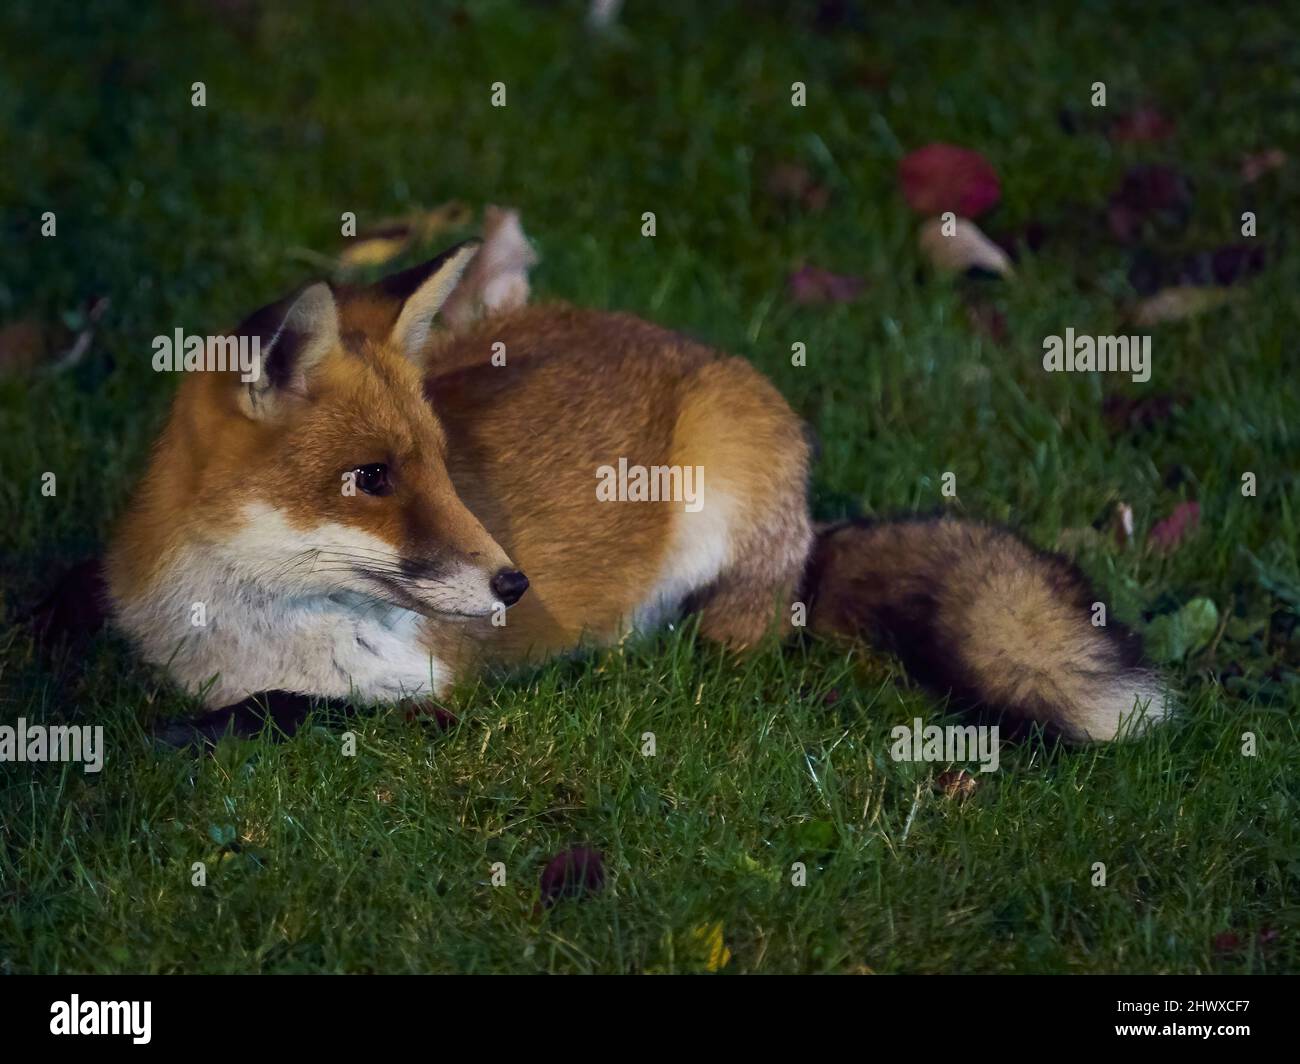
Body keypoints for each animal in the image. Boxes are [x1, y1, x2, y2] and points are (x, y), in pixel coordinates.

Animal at [106, 219, 1175, 744]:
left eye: (443, 465)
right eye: (371, 476)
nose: (515, 584)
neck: (247, 630)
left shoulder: (424, 695)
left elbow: (268, 714)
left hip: (727, 492)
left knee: (744, 634)